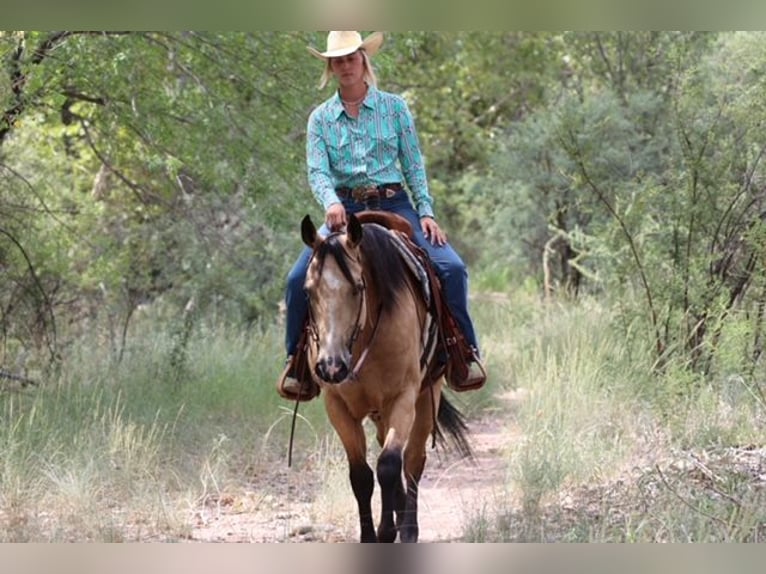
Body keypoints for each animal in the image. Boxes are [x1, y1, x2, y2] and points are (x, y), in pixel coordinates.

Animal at [302, 212, 474, 544]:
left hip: (427, 396)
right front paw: (371, 535)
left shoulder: (403, 398)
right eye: (307, 291)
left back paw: (408, 528)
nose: (331, 366)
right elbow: (360, 475)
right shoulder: (337, 405)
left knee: (413, 461)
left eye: (358, 287)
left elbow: (389, 466)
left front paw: (388, 532)